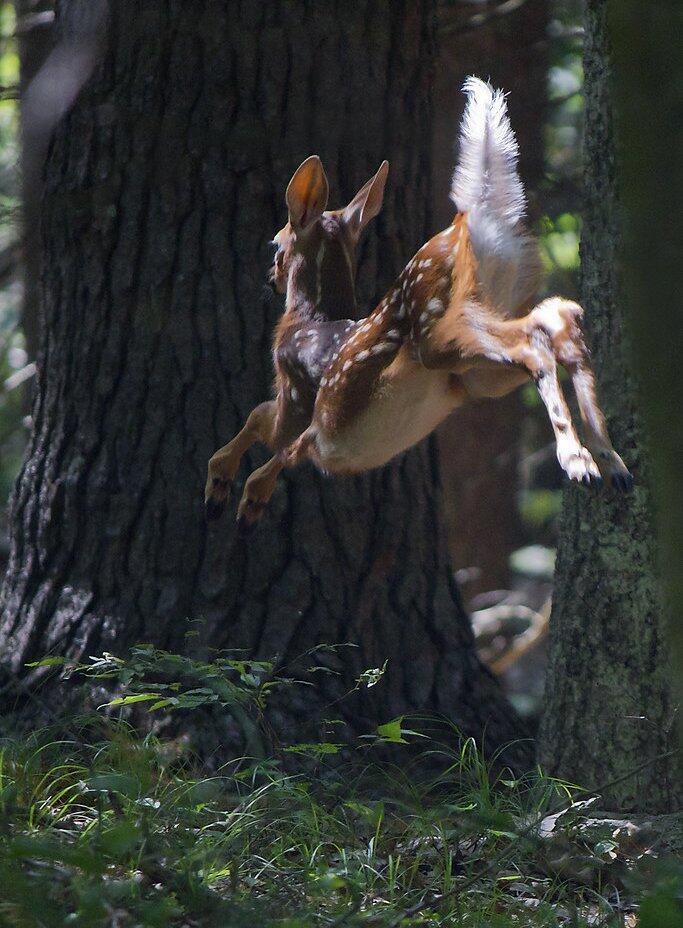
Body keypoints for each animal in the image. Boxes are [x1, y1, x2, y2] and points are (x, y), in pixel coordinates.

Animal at [206, 77, 632, 532]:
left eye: (275, 244)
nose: (269, 279)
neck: (309, 320)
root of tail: (472, 220)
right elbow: (272, 433)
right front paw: (227, 489)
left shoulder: (298, 395)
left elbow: (267, 427)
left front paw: (235, 493)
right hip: (480, 362)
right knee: (560, 320)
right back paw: (611, 464)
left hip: (438, 331)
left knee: (534, 343)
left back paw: (578, 462)